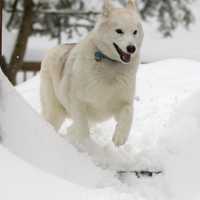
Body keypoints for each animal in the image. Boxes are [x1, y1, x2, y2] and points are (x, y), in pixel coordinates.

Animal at [40, 0, 144, 147]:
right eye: (119, 31)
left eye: (135, 32)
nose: (131, 48)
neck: (109, 65)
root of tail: (54, 49)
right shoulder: (78, 103)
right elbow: (83, 130)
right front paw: (85, 145)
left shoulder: (124, 102)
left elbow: (128, 115)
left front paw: (120, 137)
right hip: (55, 111)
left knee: (71, 128)